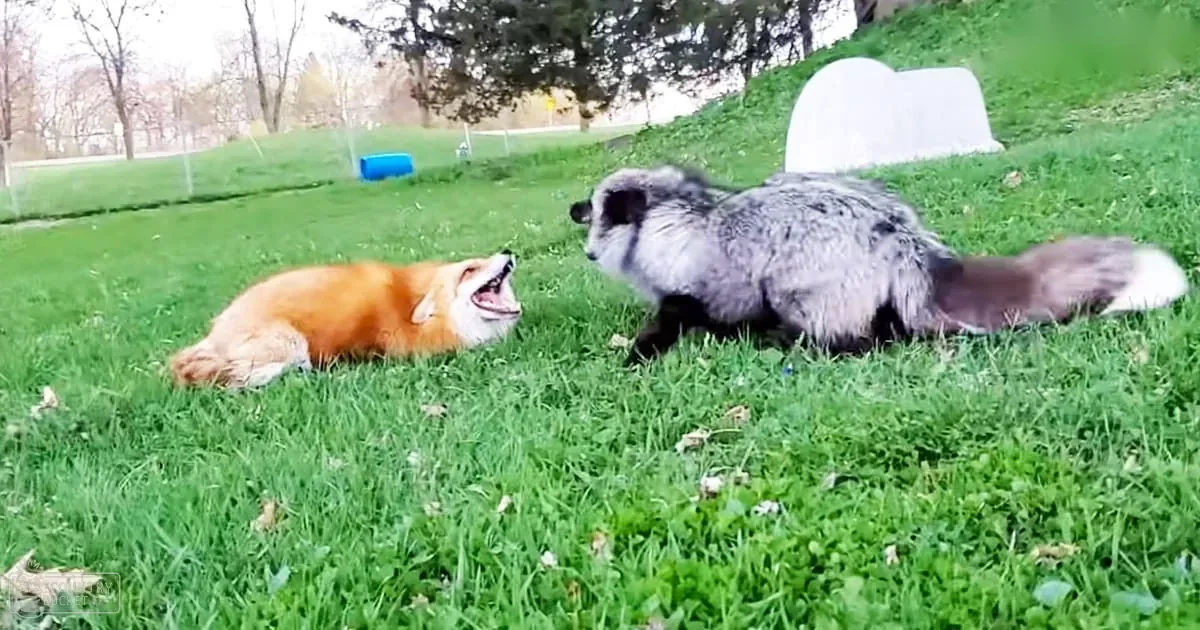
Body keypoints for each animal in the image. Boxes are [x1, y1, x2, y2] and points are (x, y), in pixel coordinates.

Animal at [567, 165, 1189, 366]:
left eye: (594, 205)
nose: (570, 208)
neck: (672, 222)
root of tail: (907, 242)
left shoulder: (697, 293)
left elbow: (668, 323)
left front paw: (635, 359)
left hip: (801, 293)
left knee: (855, 341)